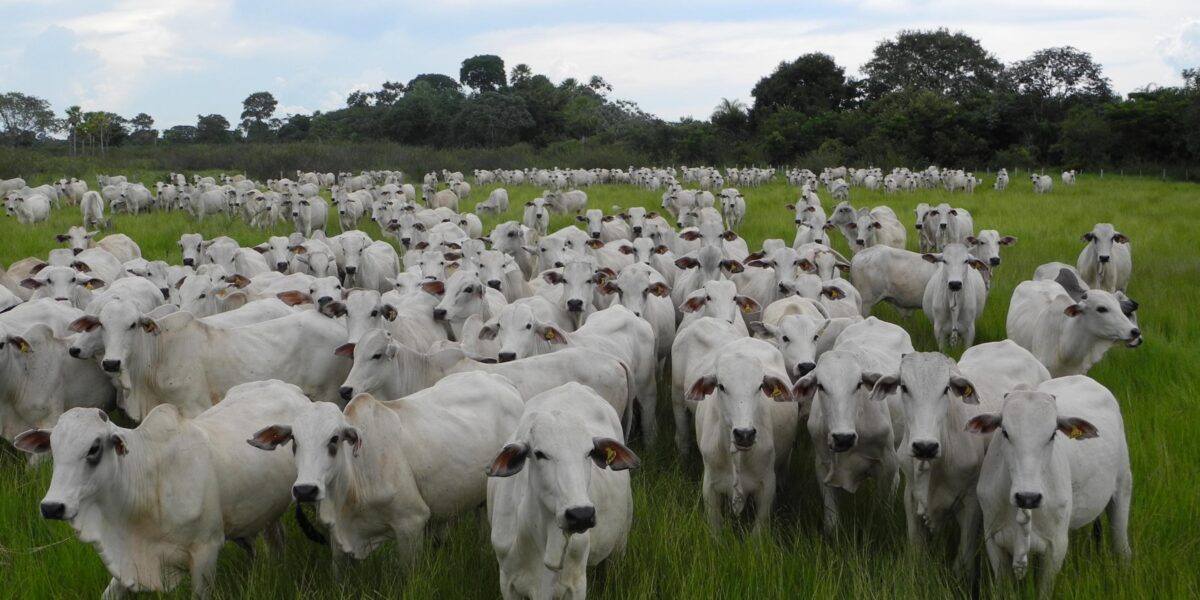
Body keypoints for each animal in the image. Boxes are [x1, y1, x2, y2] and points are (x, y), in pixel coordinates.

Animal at [484, 381, 643, 600]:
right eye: (539, 454)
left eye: (589, 452)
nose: (581, 514)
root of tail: (574, 385)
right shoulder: (508, 583)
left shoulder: (576, 585)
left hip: (620, 541)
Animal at [969, 376, 1128, 597]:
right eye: (1005, 432)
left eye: (1053, 434)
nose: (1028, 497)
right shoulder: (993, 540)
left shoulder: (1056, 547)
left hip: (1122, 487)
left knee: (1121, 545)